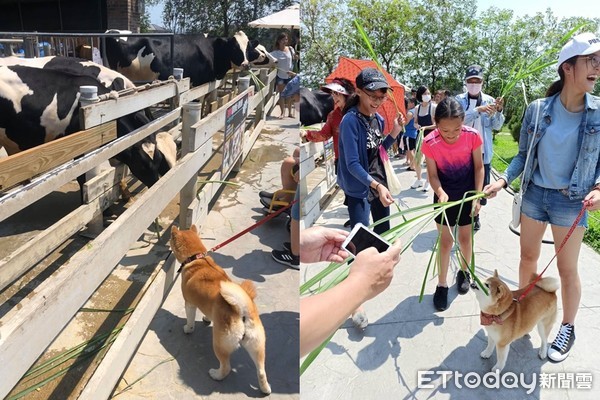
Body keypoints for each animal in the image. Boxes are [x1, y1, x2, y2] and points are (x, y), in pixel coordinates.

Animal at [170, 225, 270, 394]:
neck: (196, 259)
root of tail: (242, 312)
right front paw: (206, 319)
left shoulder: (189, 304)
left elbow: (190, 320)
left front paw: (188, 329)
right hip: (257, 346)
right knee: (261, 371)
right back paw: (265, 389)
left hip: (220, 344)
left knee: (226, 367)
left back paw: (216, 375)